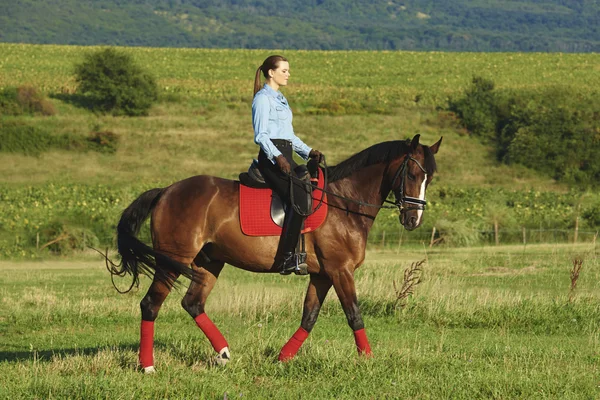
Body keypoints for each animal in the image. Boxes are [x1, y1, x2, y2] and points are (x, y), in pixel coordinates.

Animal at [111, 134, 440, 372]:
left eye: (429, 178)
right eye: (412, 173)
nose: (413, 220)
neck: (345, 202)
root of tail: (166, 191)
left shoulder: (322, 275)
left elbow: (309, 318)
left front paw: (282, 359)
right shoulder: (340, 270)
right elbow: (354, 315)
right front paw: (368, 361)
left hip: (208, 262)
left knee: (192, 303)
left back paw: (223, 353)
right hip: (174, 261)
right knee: (150, 305)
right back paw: (148, 367)